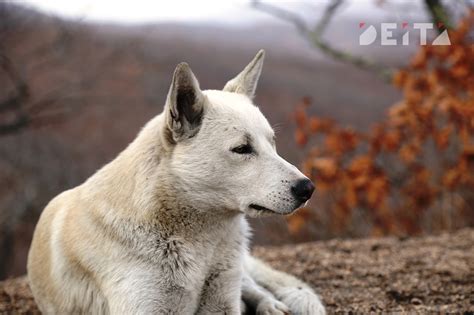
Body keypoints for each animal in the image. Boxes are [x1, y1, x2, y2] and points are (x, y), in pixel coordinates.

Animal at [27, 50, 324, 314]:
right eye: (242, 149)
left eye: (272, 143)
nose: (308, 188)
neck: (199, 241)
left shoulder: (222, 302)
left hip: (236, 272)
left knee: (254, 289)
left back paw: (271, 306)